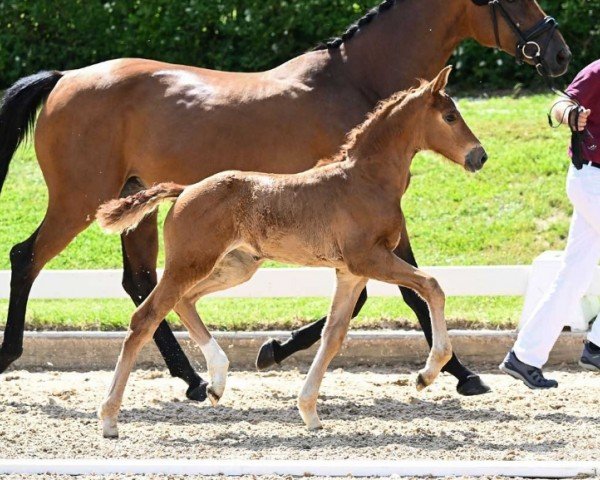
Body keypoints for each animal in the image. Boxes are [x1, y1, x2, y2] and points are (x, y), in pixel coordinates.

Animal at [96, 65, 486, 436]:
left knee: (183, 301)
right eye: (450, 116)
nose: (479, 156)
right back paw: (110, 418)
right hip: (191, 263)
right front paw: (426, 375)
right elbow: (432, 286)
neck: (365, 180)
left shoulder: (351, 272)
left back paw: (216, 383)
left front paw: (309, 412)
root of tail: (185, 189)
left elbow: (333, 335)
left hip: (236, 267)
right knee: (145, 317)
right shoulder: (369, 258)